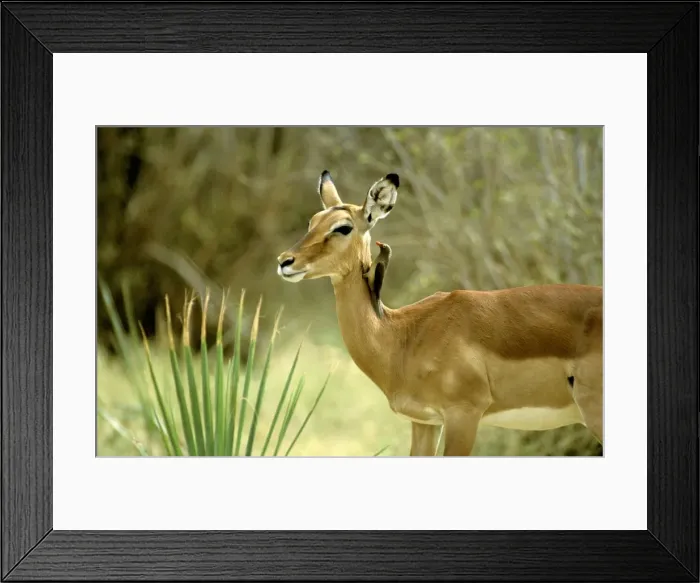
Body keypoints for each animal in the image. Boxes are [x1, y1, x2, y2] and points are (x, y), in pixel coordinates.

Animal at [276, 170, 603, 456]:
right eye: (313, 221)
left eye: (343, 227)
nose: (284, 261)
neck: (403, 337)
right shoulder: (423, 421)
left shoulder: (463, 415)